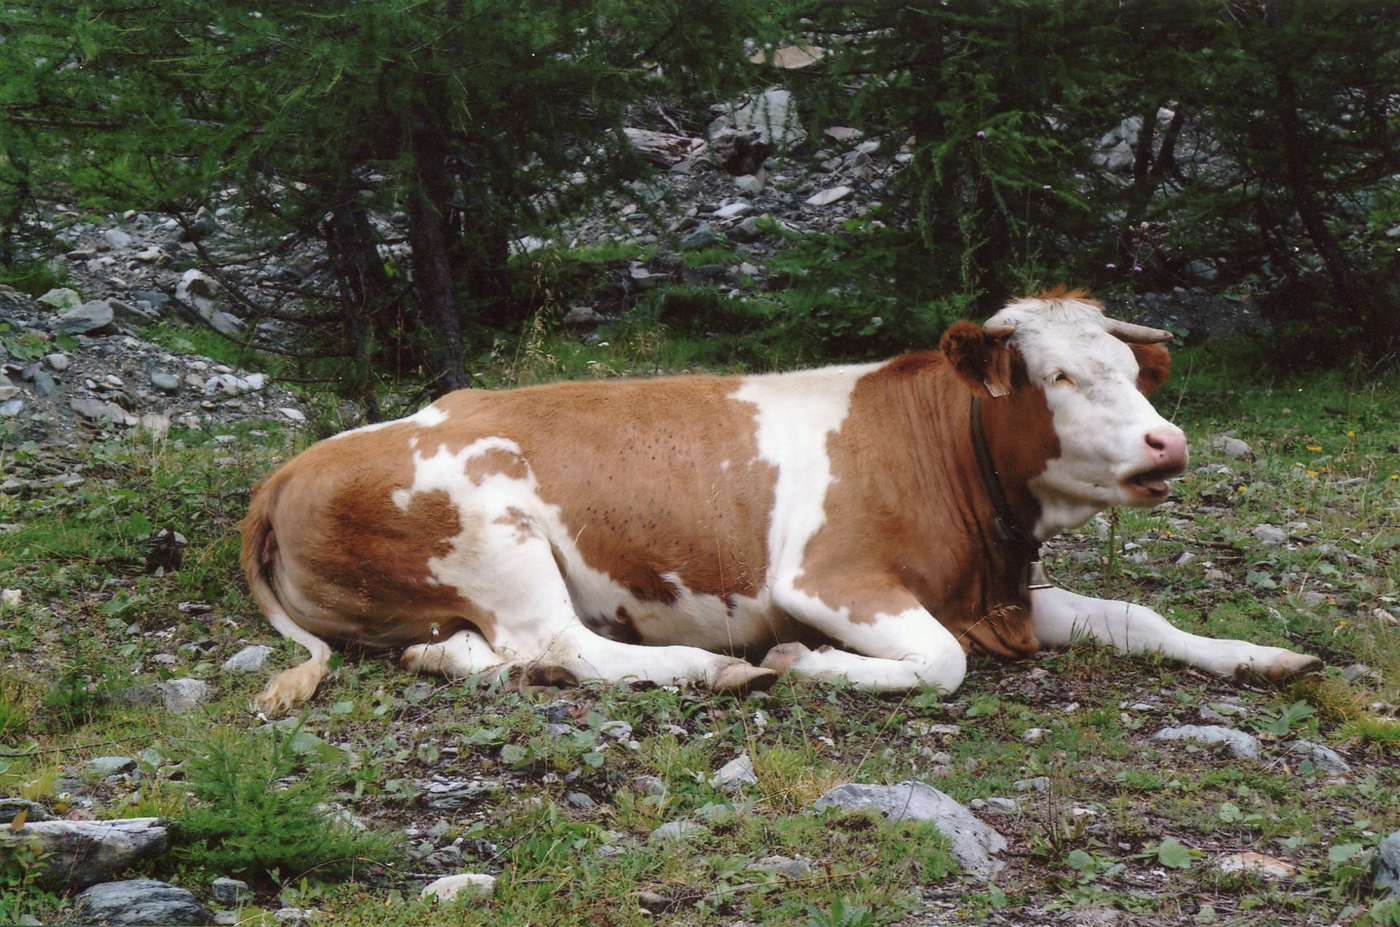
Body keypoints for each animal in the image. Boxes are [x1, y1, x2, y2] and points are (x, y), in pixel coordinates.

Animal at [240, 290, 1321, 715]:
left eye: (1133, 373)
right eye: (1054, 377)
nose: (1166, 443)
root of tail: (287, 472)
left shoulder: (999, 592)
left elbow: (1137, 617)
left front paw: (1264, 655)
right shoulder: (828, 579)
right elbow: (940, 660)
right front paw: (806, 663)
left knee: (479, 652)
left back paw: (444, 655)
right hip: (495, 535)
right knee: (564, 643)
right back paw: (716, 669)